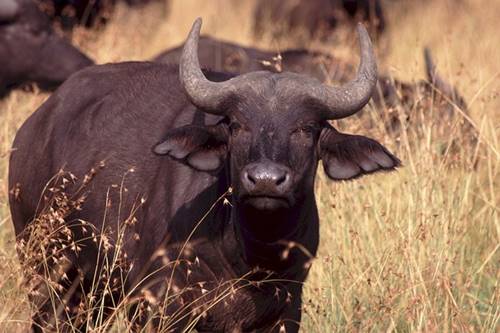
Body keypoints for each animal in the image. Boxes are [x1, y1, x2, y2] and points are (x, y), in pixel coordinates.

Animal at [8, 18, 398, 332]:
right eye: (238, 126)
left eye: (306, 128)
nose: (265, 180)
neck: (251, 257)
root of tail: (33, 128)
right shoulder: (158, 306)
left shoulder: (286, 311)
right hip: (46, 276)